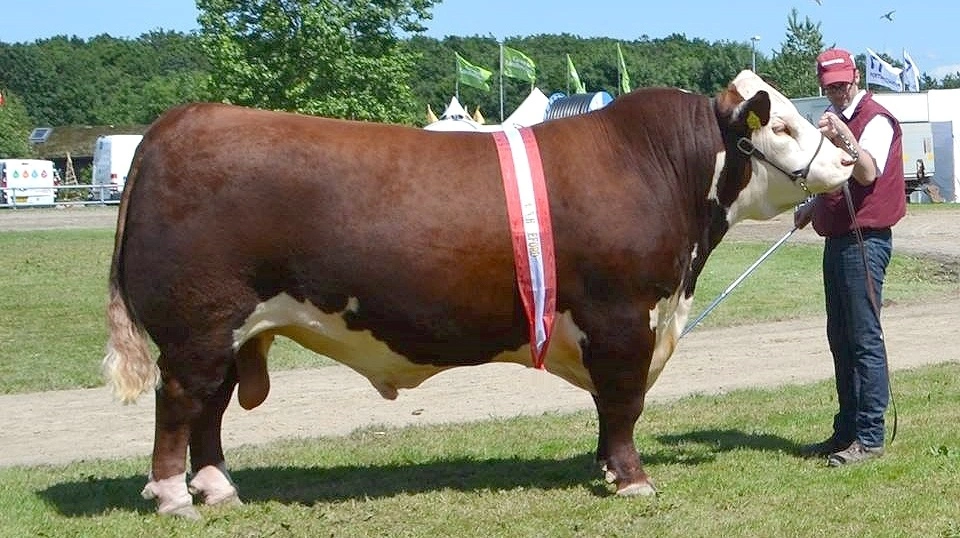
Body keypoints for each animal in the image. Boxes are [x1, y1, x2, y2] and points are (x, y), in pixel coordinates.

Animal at [105, 71, 852, 516]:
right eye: (782, 126)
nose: (848, 161)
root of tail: (177, 123)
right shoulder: (623, 316)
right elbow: (623, 403)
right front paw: (634, 479)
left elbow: (610, 409)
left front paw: (609, 470)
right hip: (200, 324)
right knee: (182, 401)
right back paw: (172, 495)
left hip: (232, 332)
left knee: (210, 407)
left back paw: (218, 489)